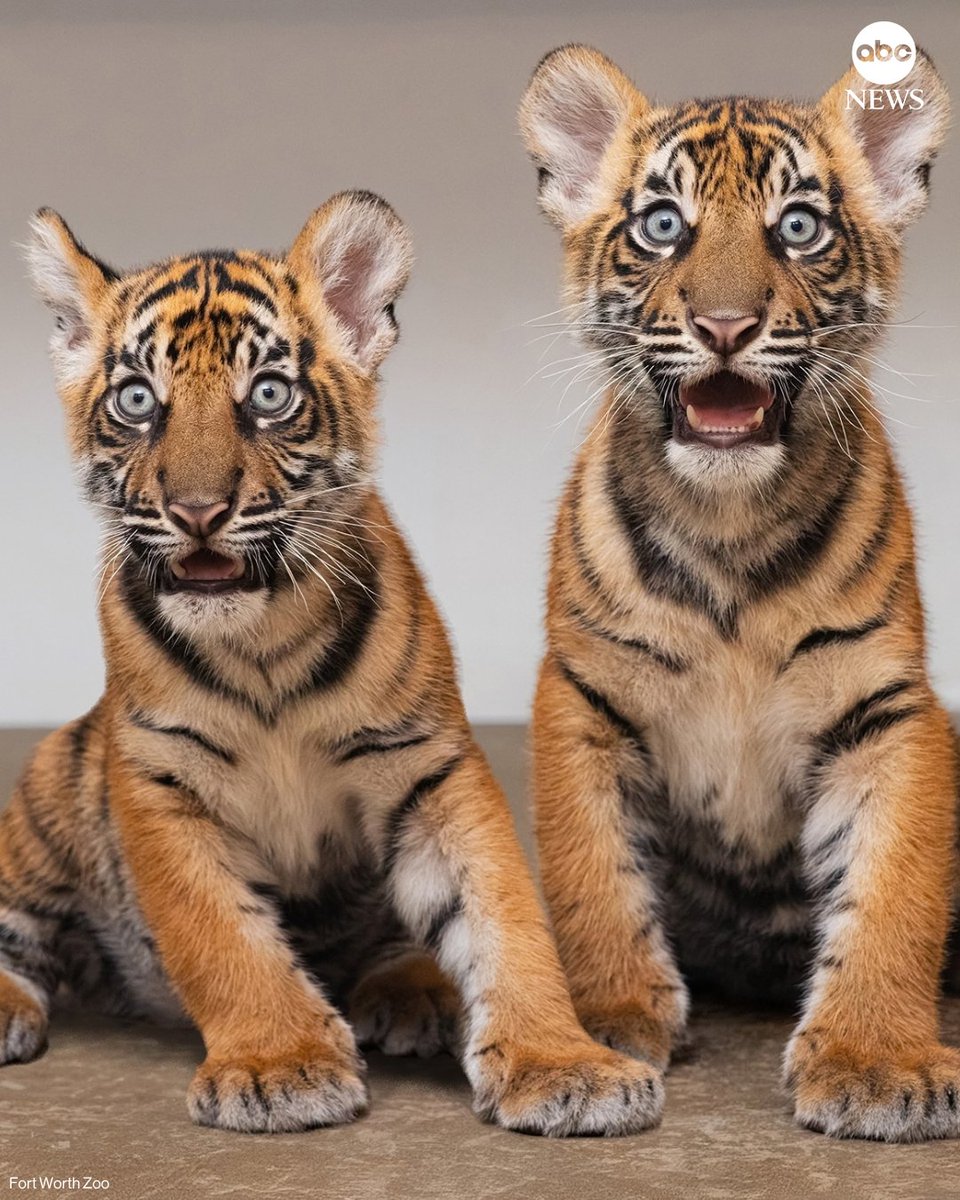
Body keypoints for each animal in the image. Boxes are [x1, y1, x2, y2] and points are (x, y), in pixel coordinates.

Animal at [0, 192, 662, 1136]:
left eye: (269, 396)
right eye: (136, 402)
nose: (196, 511)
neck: (262, 642)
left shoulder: (430, 765)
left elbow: (502, 915)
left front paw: (562, 1065)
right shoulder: (159, 781)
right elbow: (224, 937)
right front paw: (281, 1066)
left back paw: (413, 993)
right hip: (52, 794)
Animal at [519, 44, 959, 1141]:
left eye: (798, 226)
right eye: (661, 224)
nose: (724, 327)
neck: (730, 528)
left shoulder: (885, 707)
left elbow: (893, 891)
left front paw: (875, 1060)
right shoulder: (583, 695)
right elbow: (594, 874)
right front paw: (609, 1017)